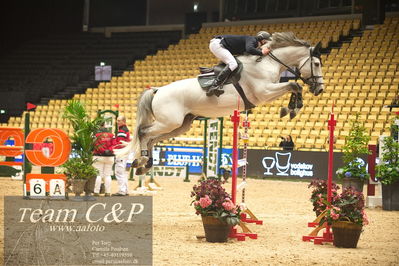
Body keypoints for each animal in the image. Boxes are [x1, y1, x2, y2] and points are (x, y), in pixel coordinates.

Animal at [121, 31, 324, 175]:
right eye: (316, 64)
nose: (320, 89)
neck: (267, 63)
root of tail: (158, 90)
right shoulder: (264, 92)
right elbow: (294, 84)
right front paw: (291, 109)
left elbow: (295, 86)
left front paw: (292, 107)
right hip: (169, 122)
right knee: (144, 133)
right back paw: (141, 161)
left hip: (180, 125)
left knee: (152, 138)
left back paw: (144, 164)